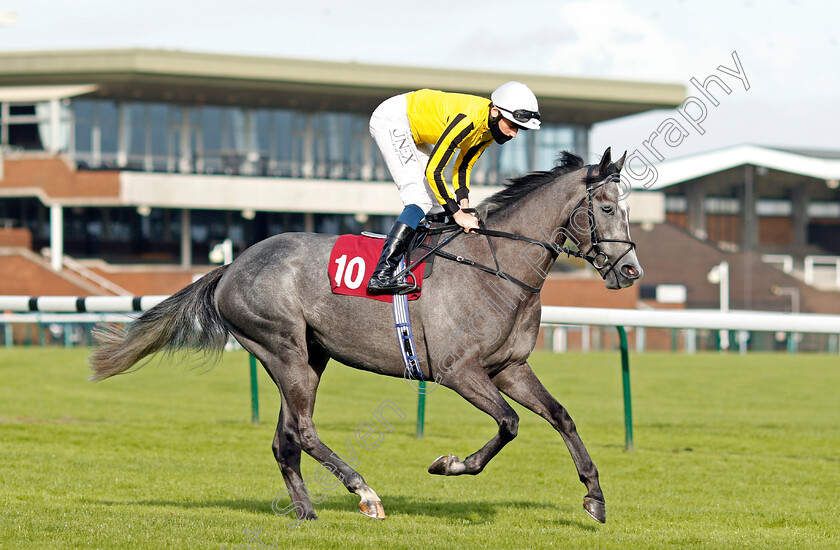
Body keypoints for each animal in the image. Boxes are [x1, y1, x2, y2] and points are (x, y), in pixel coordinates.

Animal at [88, 148, 644, 528]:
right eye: (608, 208)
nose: (630, 271)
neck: (496, 267)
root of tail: (232, 265)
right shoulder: (458, 371)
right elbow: (508, 423)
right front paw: (450, 464)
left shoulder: (509, 367)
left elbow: (561, 416)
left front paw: (594, 497)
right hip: (284, 350)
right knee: (304, 430)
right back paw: (365, 492)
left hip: (310, 357)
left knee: (285, 439)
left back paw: (306, 511)